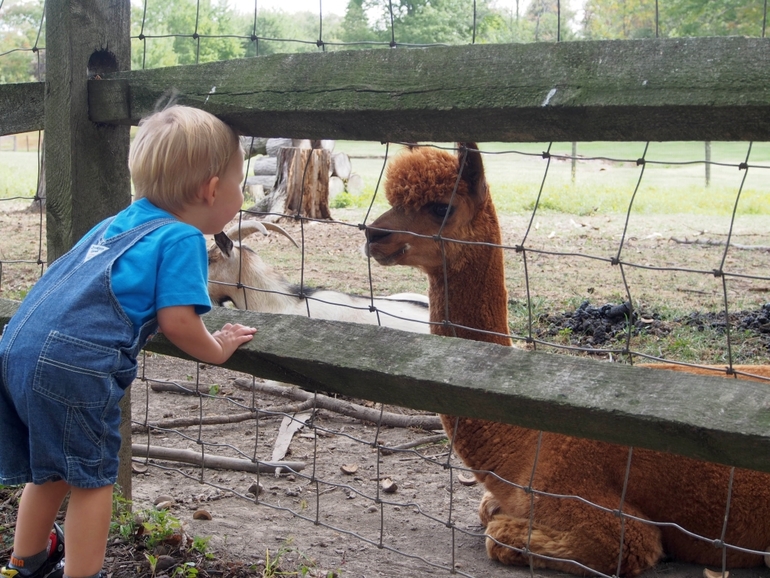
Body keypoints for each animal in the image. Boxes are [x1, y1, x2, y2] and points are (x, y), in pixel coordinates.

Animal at [364, 142, 770, 576]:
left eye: (441, 207)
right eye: (393, 201)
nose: (372, 233)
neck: (524, 446)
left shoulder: (606, 520)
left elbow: (500, 535)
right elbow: (486, 509)